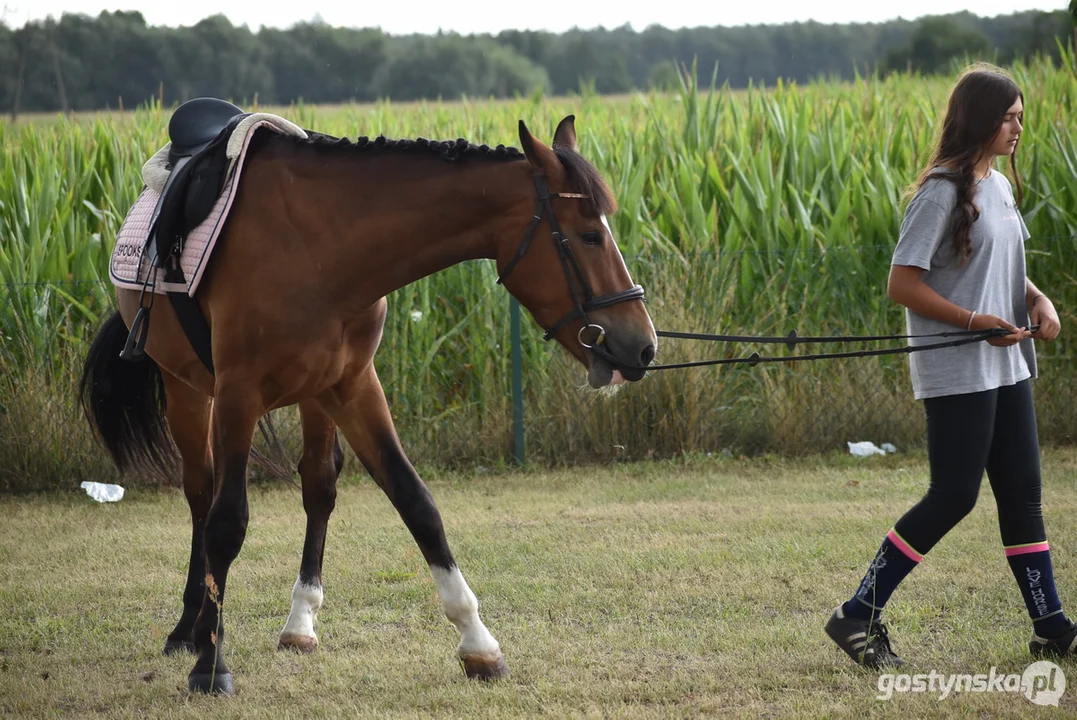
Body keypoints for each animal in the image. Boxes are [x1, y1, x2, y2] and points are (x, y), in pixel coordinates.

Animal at [78, 110, 654, 688]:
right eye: (588, 236)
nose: (645, 345)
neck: (320, 245)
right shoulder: (238, 392)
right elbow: (226, 523)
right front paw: (210, 666)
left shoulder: (354, 386)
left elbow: (415, 502)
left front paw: (478, 645)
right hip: (189, 392)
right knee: (201, 495)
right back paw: (189, 628)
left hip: (312, 397)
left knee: (316, 486)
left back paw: (297, 624)